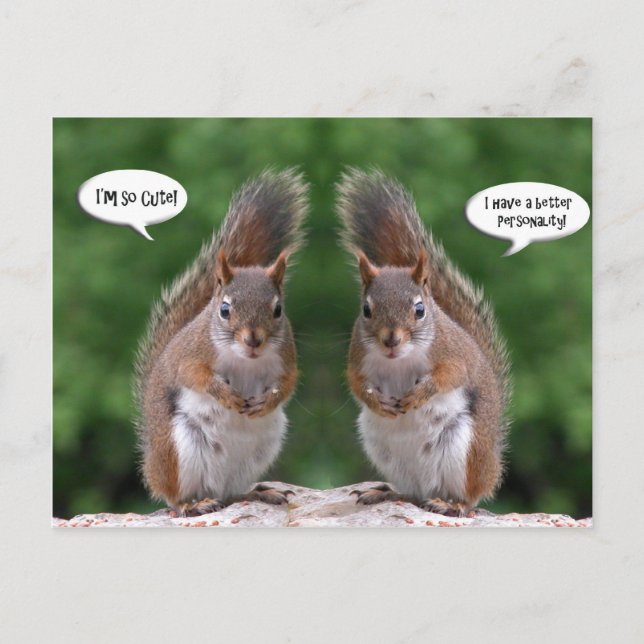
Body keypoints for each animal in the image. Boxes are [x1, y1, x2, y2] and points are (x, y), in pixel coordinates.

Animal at [134, 169, 308, 516]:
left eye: (278, 309)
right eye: (225, 309)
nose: (254, 339)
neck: (246, 359)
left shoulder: (286, 358)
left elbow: (288, 382)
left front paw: (267, 400)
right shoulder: (189, 354)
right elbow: (193, 375)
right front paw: (224, 394)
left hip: (260, 449)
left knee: (231, 494)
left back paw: (255, 493)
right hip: (178, 451)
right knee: (175, 497)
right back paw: (192, 504)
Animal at [337, 169, 510, 517]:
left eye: (419, 309)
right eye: (366, 309)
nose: (390, 340)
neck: (398, 359)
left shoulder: (454, 354)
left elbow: (451, 376)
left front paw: (420, 393)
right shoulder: (357, 357)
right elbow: (356, 382)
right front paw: (376, 400)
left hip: (465, 451)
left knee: (469, 498)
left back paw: (452, 504)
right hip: (383, 449)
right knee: (413, 494)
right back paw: (388, 493)